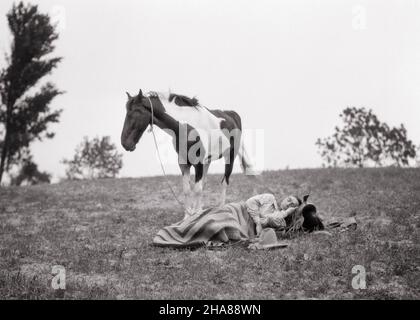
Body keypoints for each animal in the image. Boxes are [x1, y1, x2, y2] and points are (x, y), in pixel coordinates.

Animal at [120, 89, 254, 219]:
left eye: (136, 112)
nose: (125, 143)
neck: (186, 128)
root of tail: (232, 115)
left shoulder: (198, 164)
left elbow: (197, 189)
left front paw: (195, 216)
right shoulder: (184, 164)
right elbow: (187, 189)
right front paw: (188, 217)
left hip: (229, 157)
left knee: (224, 182)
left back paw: (220, 209)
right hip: (207, 161)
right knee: (204, 183)